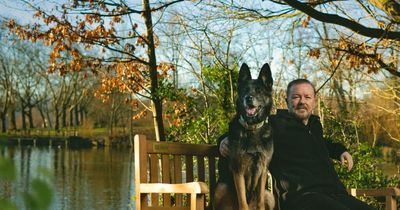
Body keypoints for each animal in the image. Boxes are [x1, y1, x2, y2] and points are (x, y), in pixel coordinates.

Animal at [214, 62, 274, 210]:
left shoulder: (263, 169)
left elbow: (260, 202)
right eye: (245, 90)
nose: (249, 98)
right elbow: (242, 202)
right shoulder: (238, 170)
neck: (252, 129)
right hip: (221, 187)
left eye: (259, 90)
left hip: (269, 195)